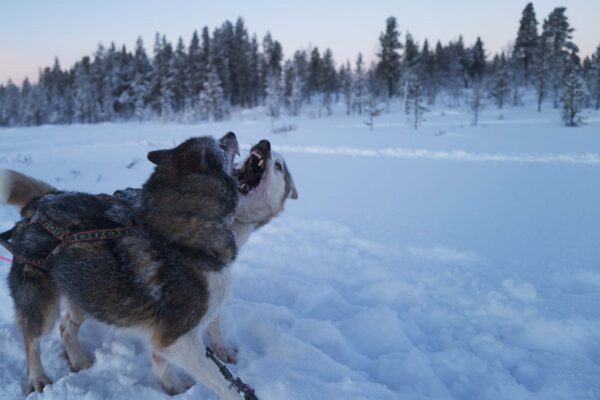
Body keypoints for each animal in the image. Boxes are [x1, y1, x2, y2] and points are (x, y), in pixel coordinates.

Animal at [0, 135, 298, 396]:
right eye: (221, 145)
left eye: (279, 166)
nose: (263, 144)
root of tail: (41, 203)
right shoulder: (178, 337)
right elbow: (224, 383)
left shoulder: (172, 331)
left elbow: (177, 350)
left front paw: (176, 386)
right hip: (42, 304)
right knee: (33, 339)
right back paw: (38, 378)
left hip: (85, 294)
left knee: (66, 327)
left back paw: (79, 360)